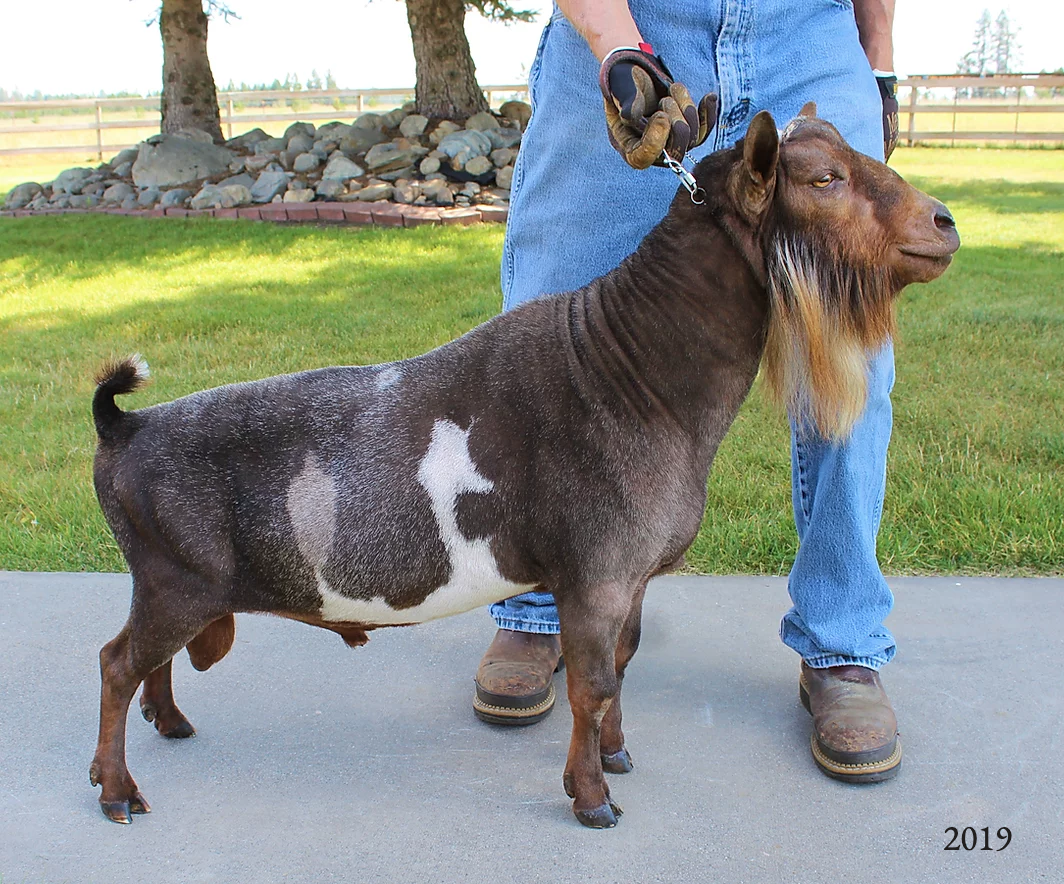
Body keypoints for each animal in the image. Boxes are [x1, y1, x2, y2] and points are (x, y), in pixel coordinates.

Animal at [88, 104, 959, 828]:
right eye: (823, 178)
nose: (945, 222)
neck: (633, 369)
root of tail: (125, 429)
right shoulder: (595, 574)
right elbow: (590, 685)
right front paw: (593, 799)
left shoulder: (629, 578)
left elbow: (621, 667)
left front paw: (616, 757)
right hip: (177, 576)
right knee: (117, 661)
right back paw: (118, 790)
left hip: (170, 584)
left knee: (147, 661)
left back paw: (171, 724)